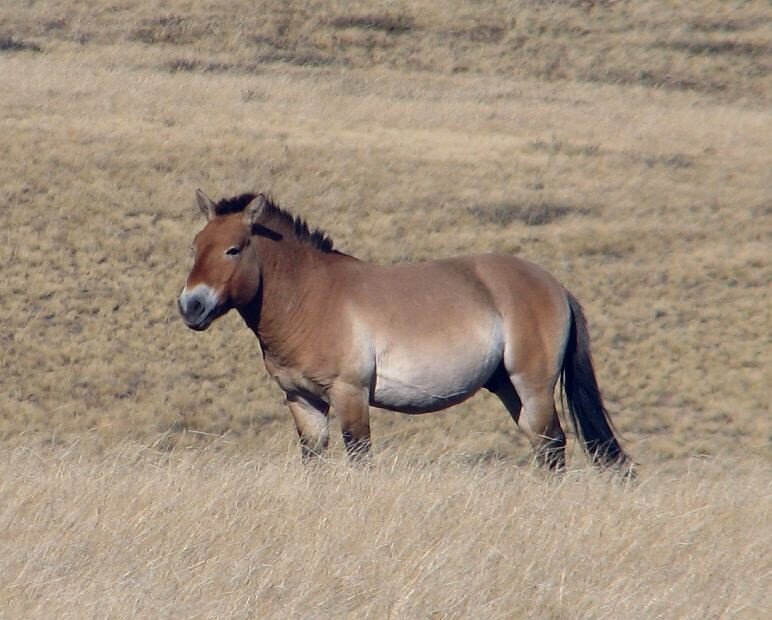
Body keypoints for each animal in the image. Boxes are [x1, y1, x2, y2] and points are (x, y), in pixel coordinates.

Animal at [178, 190, 632, 470]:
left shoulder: (350, 396)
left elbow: (360, 459)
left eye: (233, 249)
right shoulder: (302, 401)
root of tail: (555, 286)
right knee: (542, 446)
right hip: (507, 388)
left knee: (553, 445)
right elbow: (315, 462)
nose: (191, 306)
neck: (309, 297)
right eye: (195, 246)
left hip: (532, 387)